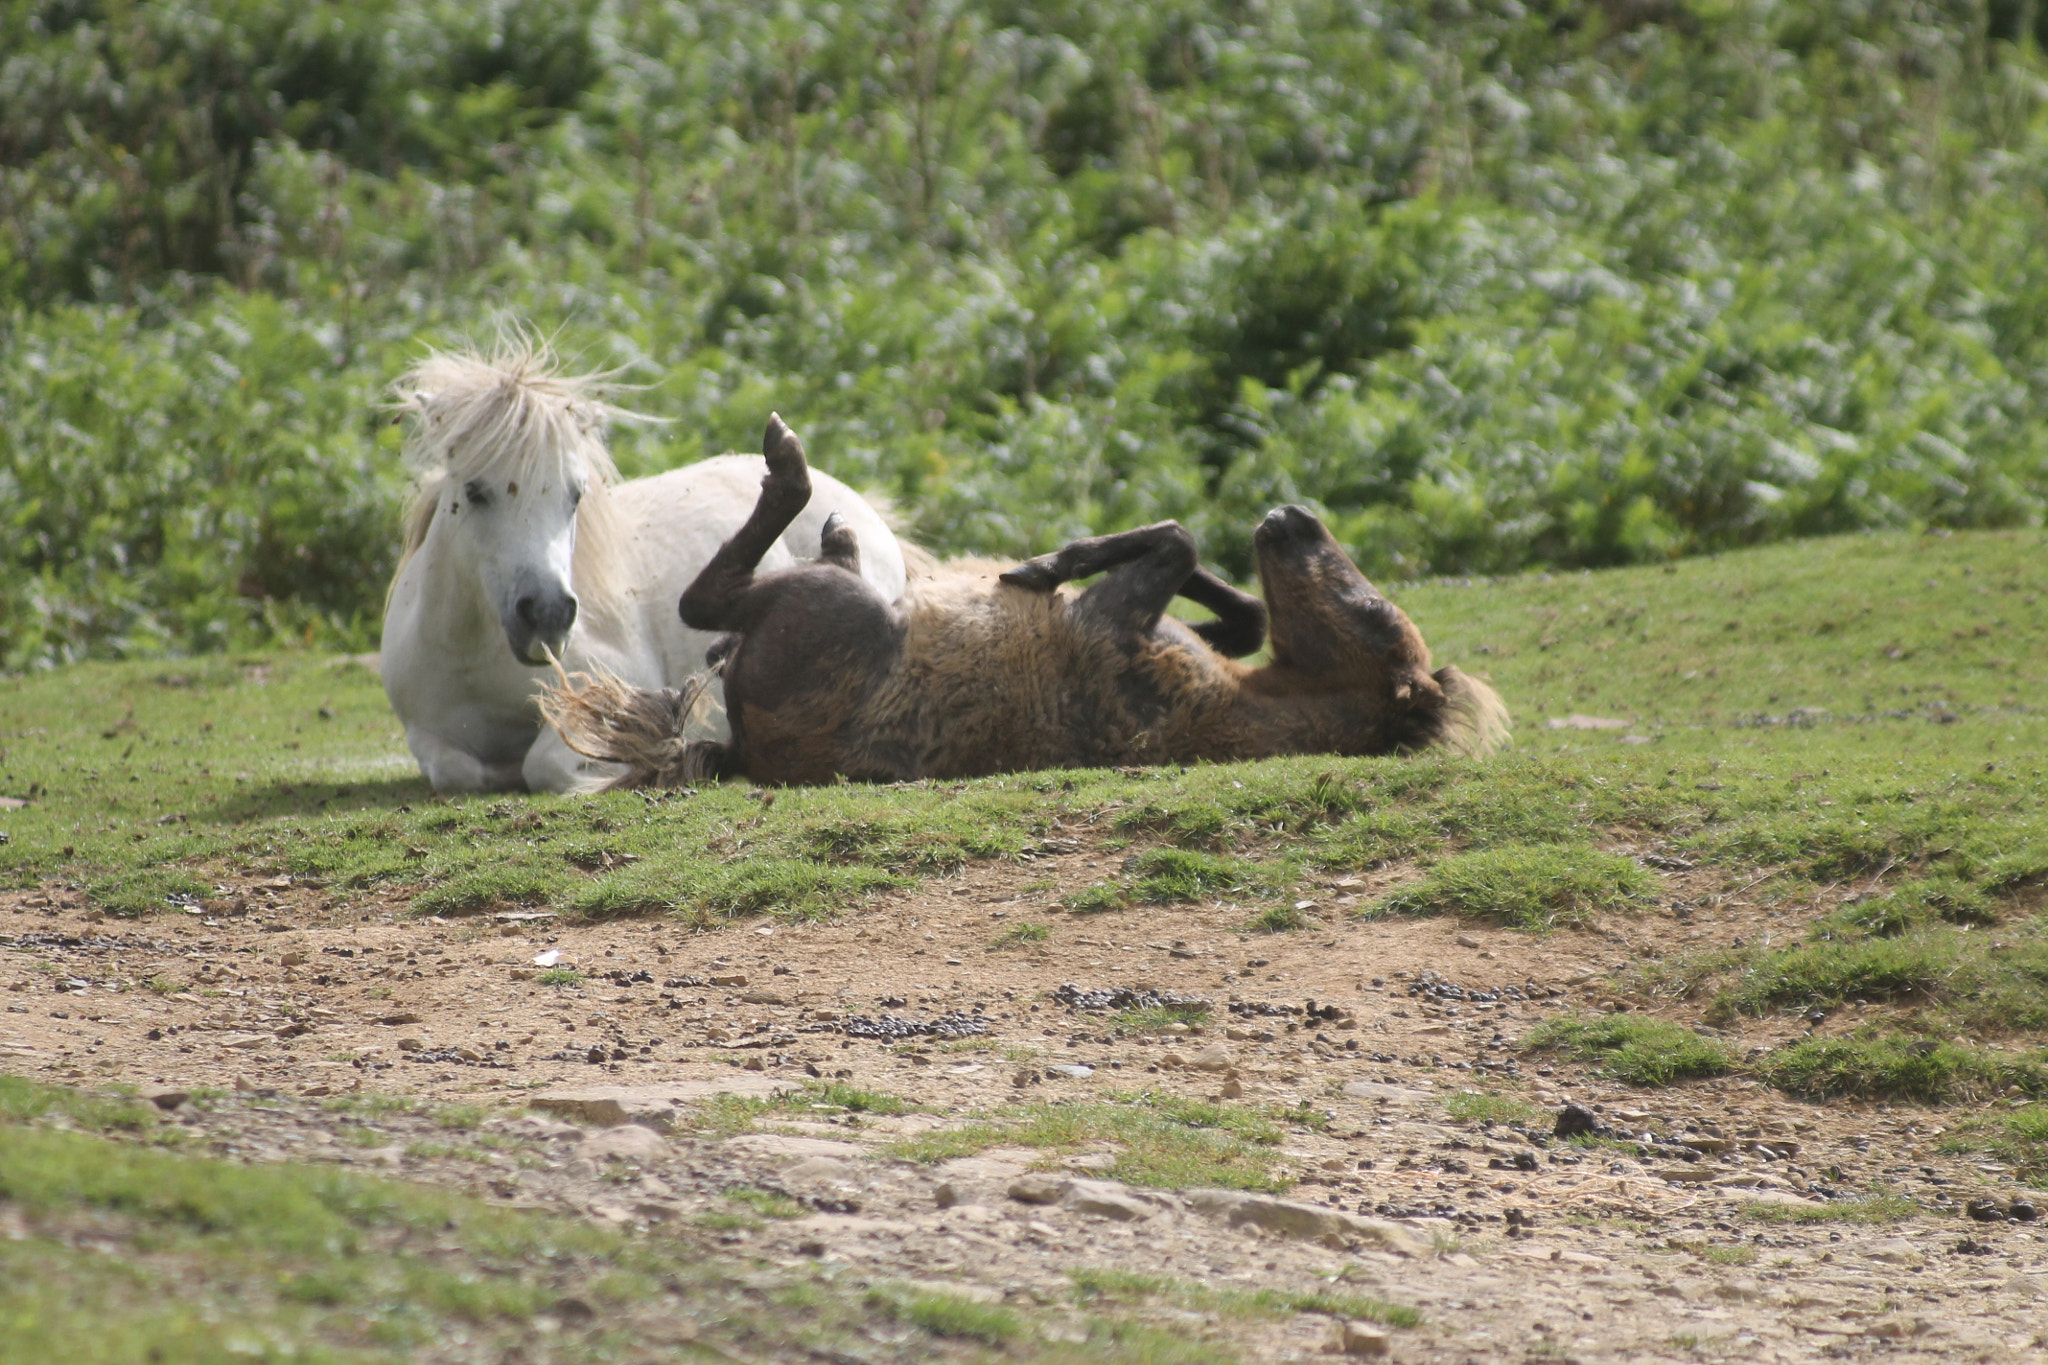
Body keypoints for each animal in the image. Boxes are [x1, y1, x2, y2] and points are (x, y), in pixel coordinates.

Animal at [380, 339, 909, 789]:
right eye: (474, 492)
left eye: (576, 495)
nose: (548, 615)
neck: (474, 656)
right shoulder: (426, 733)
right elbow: (459, 772)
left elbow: (545, 763)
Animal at [540, 411, 1507, 785]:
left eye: (1374, 614)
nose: (1291, 517)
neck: (1241, 709)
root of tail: (747, 745)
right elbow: (1237, 600)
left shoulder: (1117, 630)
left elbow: (1173, 540)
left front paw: (1039, 568)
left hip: (820, 610)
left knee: (712, 599)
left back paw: (798, 478)